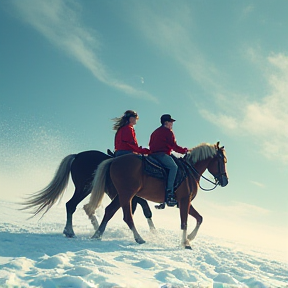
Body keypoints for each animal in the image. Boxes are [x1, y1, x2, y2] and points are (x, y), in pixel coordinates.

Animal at [21, 150, 155, 237]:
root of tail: (77, 156)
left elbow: (143, 208)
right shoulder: (128, 195)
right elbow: (142, 207)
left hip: (88, 188)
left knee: (78, 206)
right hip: (84, 188)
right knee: (71, 205)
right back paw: (71, 231)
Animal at [84, 142, 228, 248]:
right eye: (223, 161)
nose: (225, 181)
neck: (189, 171)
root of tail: (114, 160)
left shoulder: (184, 202)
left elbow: (199, 218)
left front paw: (189, 238)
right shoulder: (184, 200)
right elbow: (184, 222)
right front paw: (185, 243)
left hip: (121, 195)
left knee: (109, 211)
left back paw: (97, 235)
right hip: (127, 195)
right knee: (127, 217)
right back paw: (139, 238)